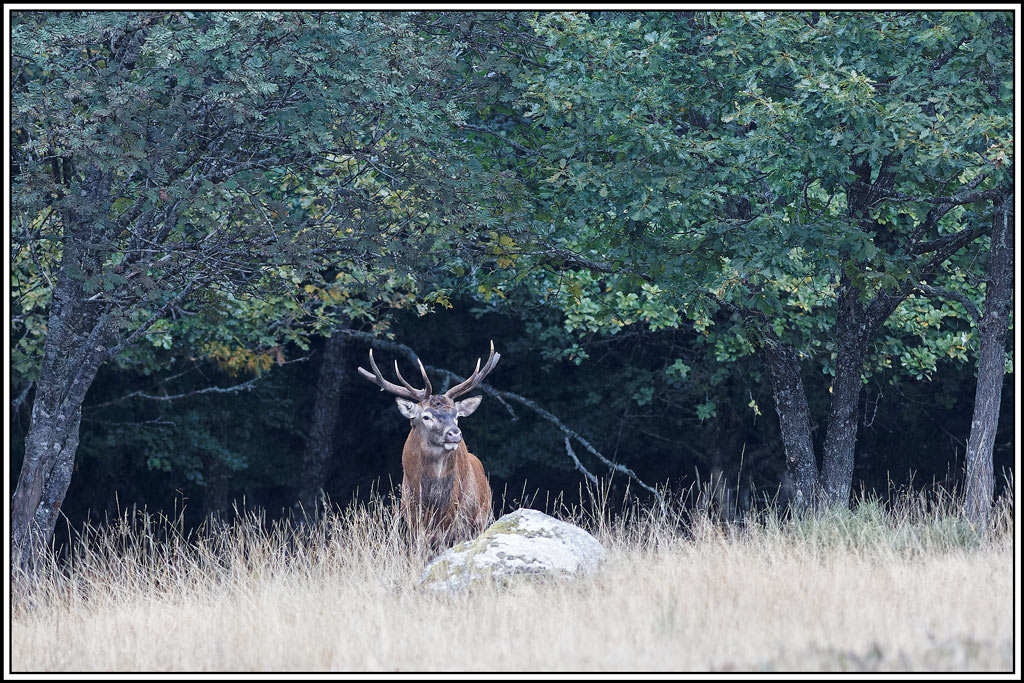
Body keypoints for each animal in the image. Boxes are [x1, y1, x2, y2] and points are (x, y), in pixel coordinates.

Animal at [358, 341, 500, 552]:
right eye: (426, 416)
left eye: (456, 415)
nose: (454, 433)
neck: (433, 504)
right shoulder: (413, 524)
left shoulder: (457, 525)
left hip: (481, 517)